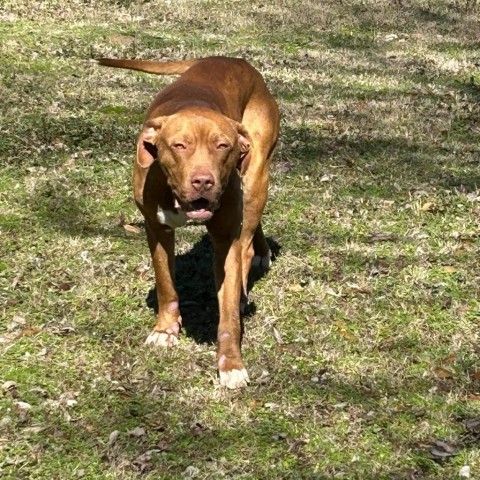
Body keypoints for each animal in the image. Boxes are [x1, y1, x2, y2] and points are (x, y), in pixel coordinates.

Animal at [96, 56, 280, 388]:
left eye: (223, 146)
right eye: (179, 146)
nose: (203, 181)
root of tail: (234, 59)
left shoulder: (226, 241)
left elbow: (228, 315)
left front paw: (230, 364)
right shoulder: (157, 230)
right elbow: (166, 285)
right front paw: (165, 330)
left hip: (257, 172)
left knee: (246, 238)